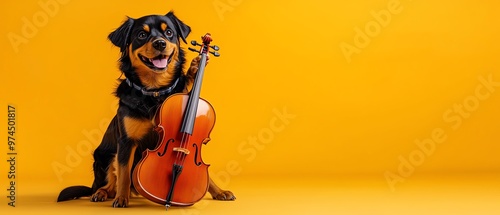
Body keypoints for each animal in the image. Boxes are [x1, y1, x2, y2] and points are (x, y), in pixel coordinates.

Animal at [57, 10, 237, 207]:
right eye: (142, 35)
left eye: (169, 33)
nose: (160, 43)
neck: (154, 91)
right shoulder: (126, 142)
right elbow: (124, 173)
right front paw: (122, 198)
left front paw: (196, 67)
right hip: (106, 155)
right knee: (110, 182)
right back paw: (102, 193)